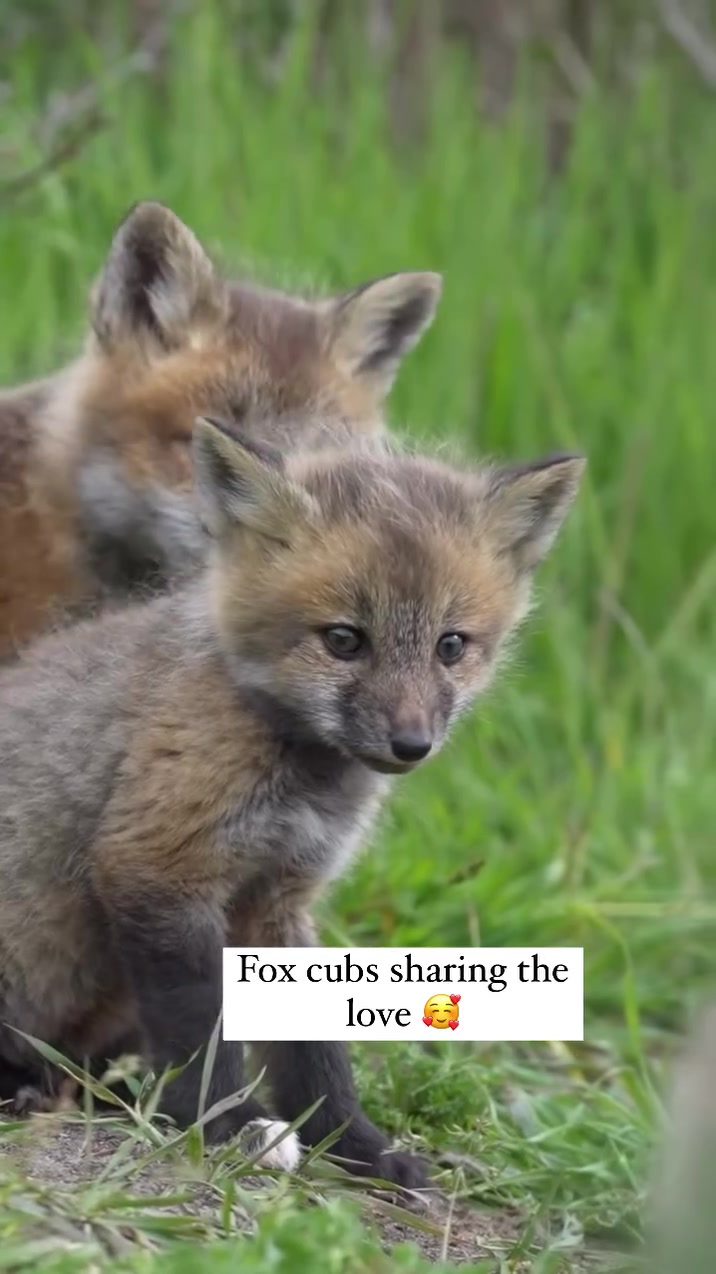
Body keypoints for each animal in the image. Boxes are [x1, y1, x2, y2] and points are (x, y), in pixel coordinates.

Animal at [0, 418, 584, 1187]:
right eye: (343, 640)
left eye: (450, 646)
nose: (412, 744)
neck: (302, 782)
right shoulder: (159, 867)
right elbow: (204, 1030)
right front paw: (228, 1126)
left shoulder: (281, 896)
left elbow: (317, 1050)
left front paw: (356, 1146)